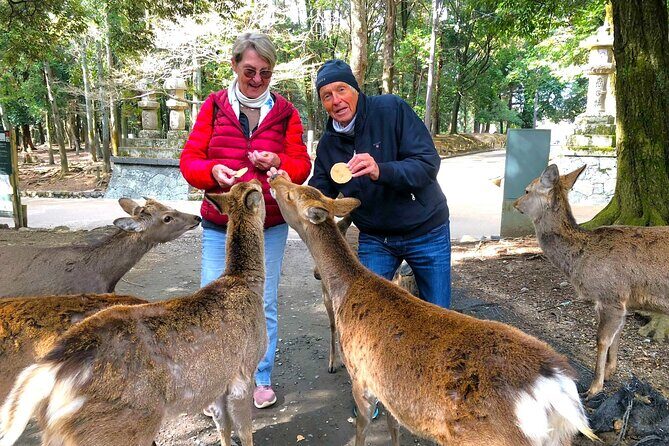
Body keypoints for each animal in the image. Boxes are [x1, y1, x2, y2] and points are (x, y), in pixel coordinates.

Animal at [269, 174, 597, 446]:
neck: (346, 292)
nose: (275, 177)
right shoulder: (387, 389)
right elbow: (393, 428)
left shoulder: (361, 377)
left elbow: (362, 430)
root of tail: (557, 394)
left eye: (291, 195)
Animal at [514, 164, 669, 398]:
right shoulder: (620, 302)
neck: (581, 257)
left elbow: (602, 339)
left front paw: (594, 388)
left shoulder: (610, 295)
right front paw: (610, 372)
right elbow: (617, 335)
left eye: (526, 190)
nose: (514, 203)